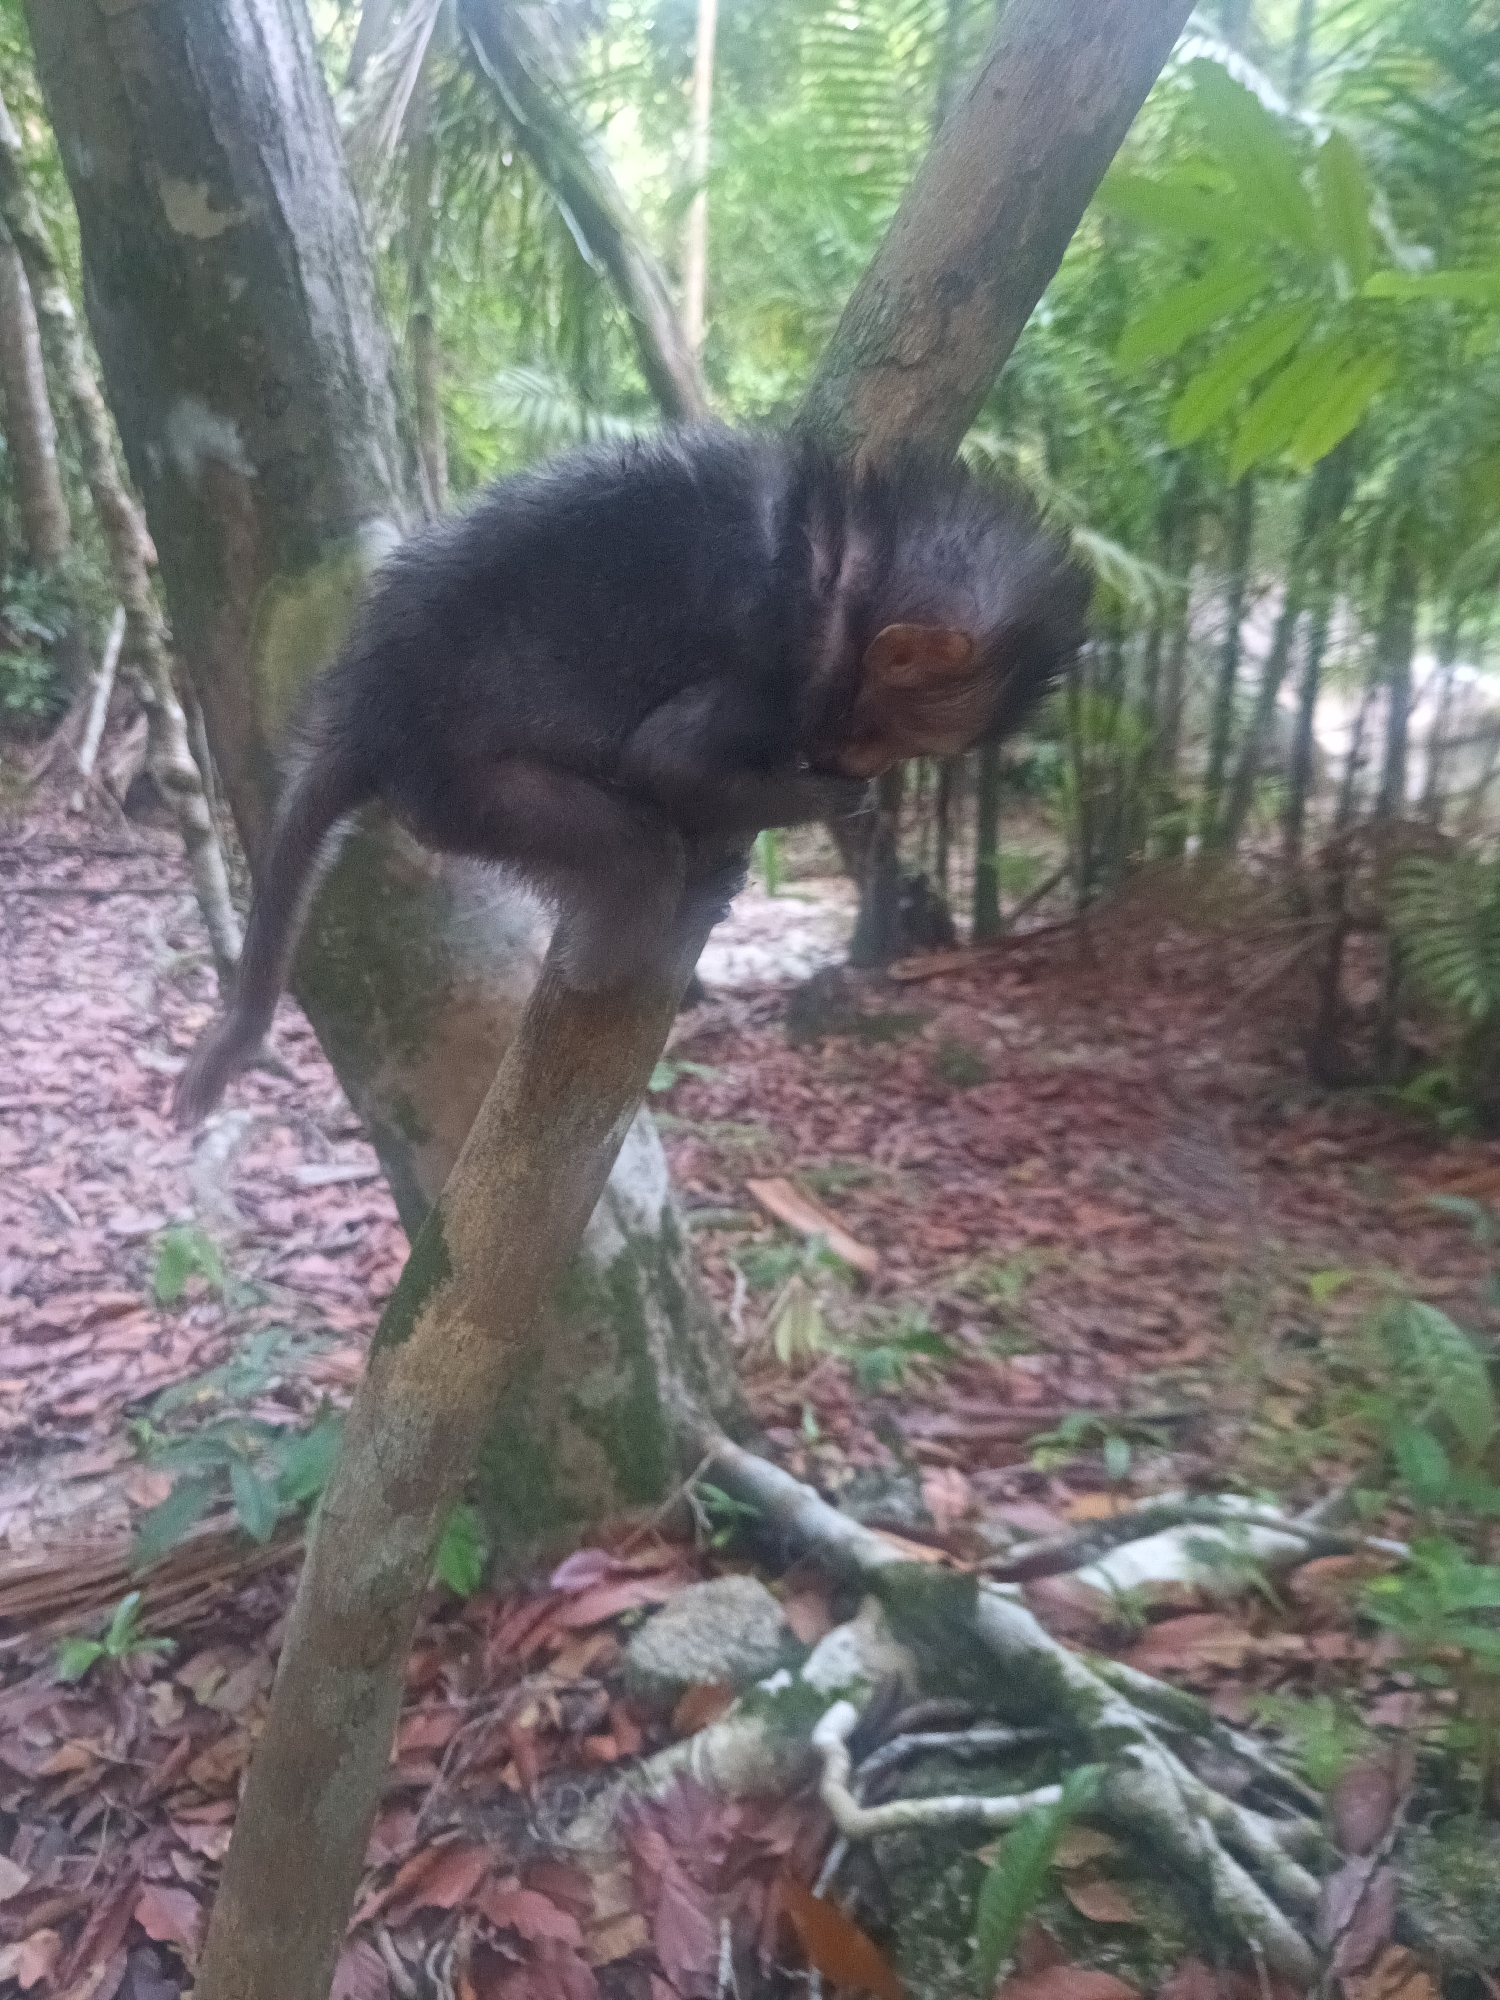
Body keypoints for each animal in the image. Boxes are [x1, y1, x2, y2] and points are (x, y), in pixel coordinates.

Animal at [172, 426, 1088, 1126]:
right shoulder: (775, 669)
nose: (864, 762)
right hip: (456, 790)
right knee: (634, 853)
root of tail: (369, 713)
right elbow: (666, 759)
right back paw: (633, 952)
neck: (848, 566)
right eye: (884, 733)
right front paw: (822, 795)